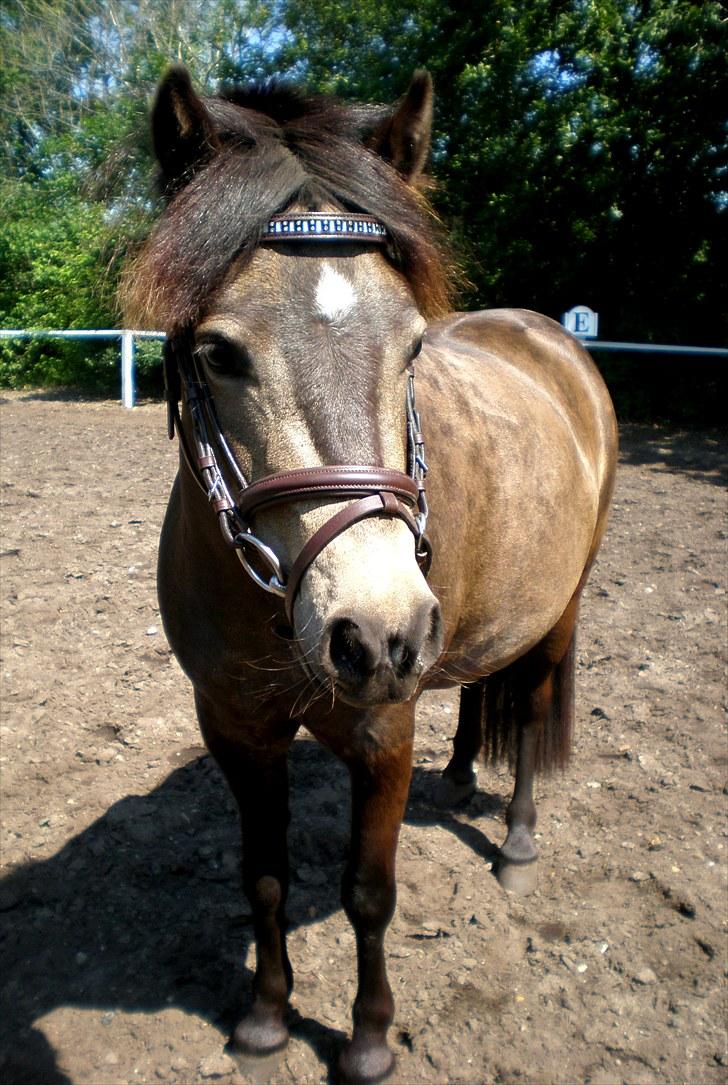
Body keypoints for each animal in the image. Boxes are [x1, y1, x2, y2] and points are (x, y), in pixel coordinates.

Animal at [123, 66, 617, 1083]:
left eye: (415, 346)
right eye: (218, 353)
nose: (378, 629)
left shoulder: (382, 729)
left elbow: (369, 893)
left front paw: (369, 1037)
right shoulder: (236, 729)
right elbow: (265, 877)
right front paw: (266, 1019)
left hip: (554, 613)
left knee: (529, 706)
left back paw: (515, 840)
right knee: (472, 684)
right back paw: (461, 775)